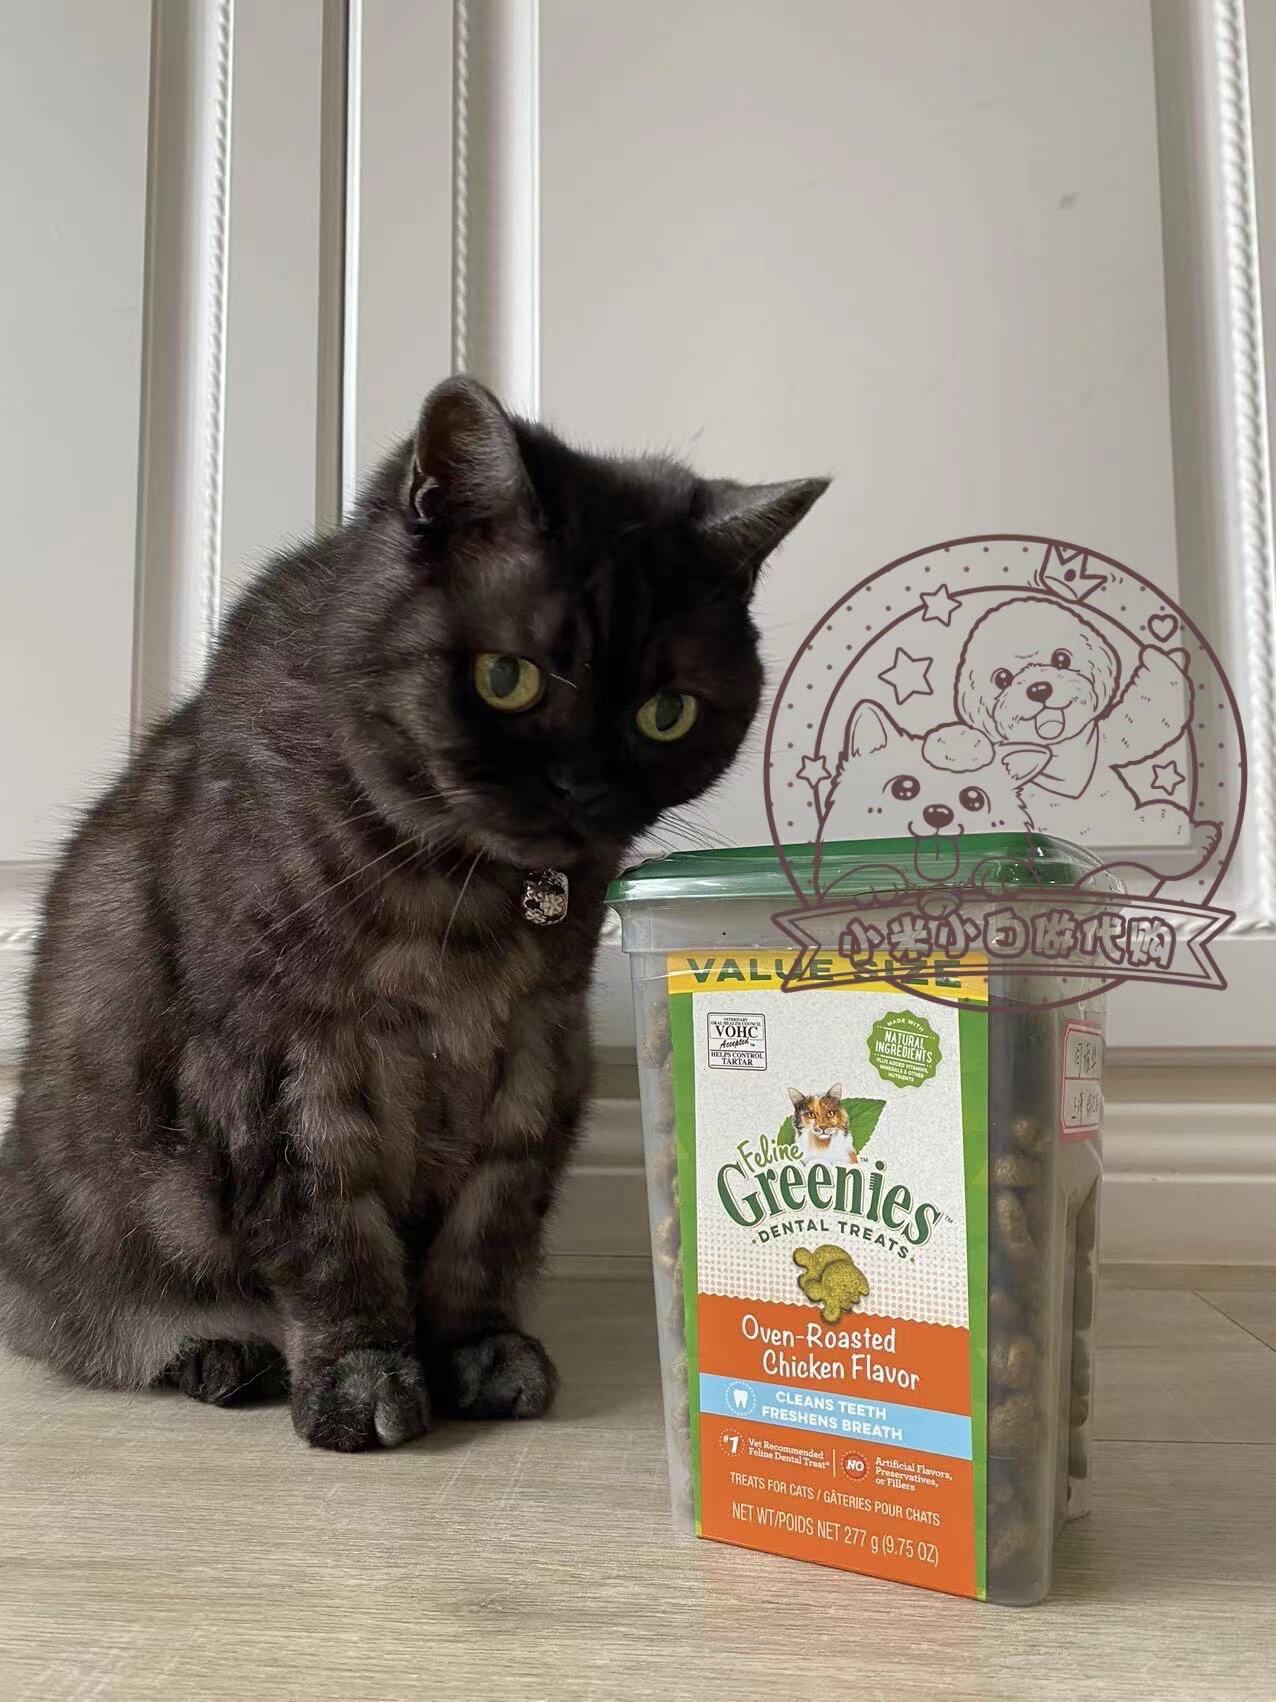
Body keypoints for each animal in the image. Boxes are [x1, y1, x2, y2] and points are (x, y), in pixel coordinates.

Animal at [0, 376, 827, 1450]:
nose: (585, 791)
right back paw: (221, 1357)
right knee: (96, 1328)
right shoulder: (285, 1060)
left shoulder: (535, 1053)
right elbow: (332, 1234)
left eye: (668, 712)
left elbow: (489, 1225)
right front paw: (364, 1383)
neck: (464, 904)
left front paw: (481, 1354)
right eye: (506, 679)